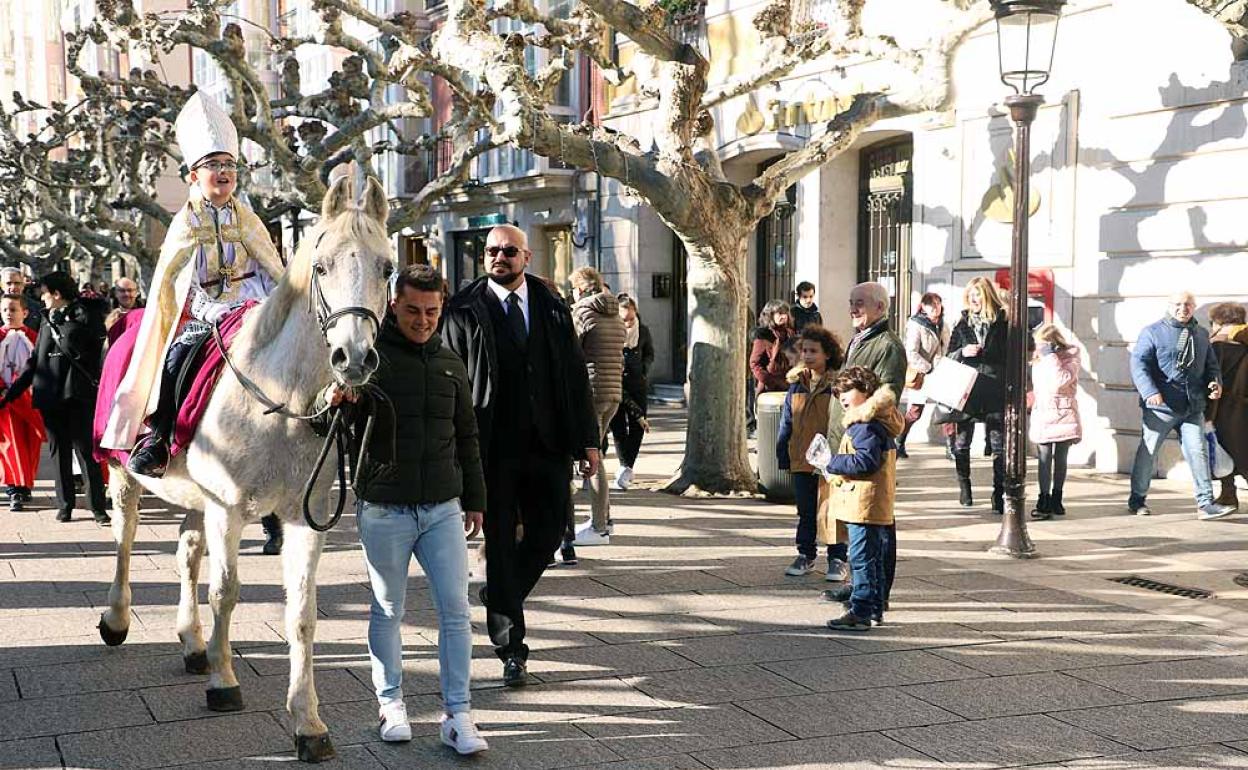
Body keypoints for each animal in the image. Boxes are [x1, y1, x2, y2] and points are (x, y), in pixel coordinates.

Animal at [96, 177, 389, 758]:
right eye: (321, 266)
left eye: (387, 267)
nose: (354, 358)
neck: (279, 399)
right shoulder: (227, 508)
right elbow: (226, 592)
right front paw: (224, 683)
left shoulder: (304, 517)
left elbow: (301, 613)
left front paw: (308, 722)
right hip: (125, 476)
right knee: (125, 541)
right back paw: (117, 619)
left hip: (196, 500)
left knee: (186, 554)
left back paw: (192, 643)